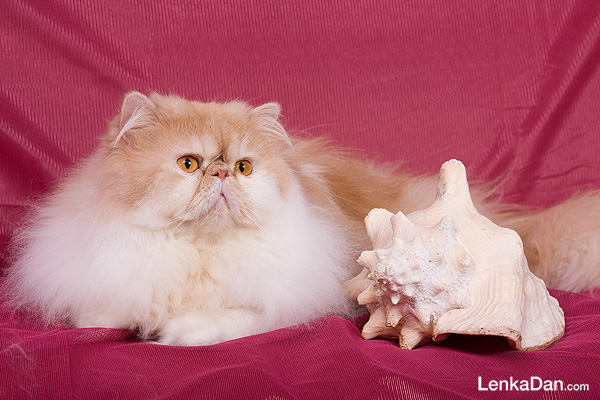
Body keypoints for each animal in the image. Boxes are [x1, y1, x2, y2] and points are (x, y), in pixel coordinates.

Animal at [5, 92, 600, 346]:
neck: (199, 252)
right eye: (189, 164)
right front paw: (128, 321)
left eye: (244, 167)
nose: (221, 173)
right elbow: (100, 315)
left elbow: (221, 321)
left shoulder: (283, 301)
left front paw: (172, 333)